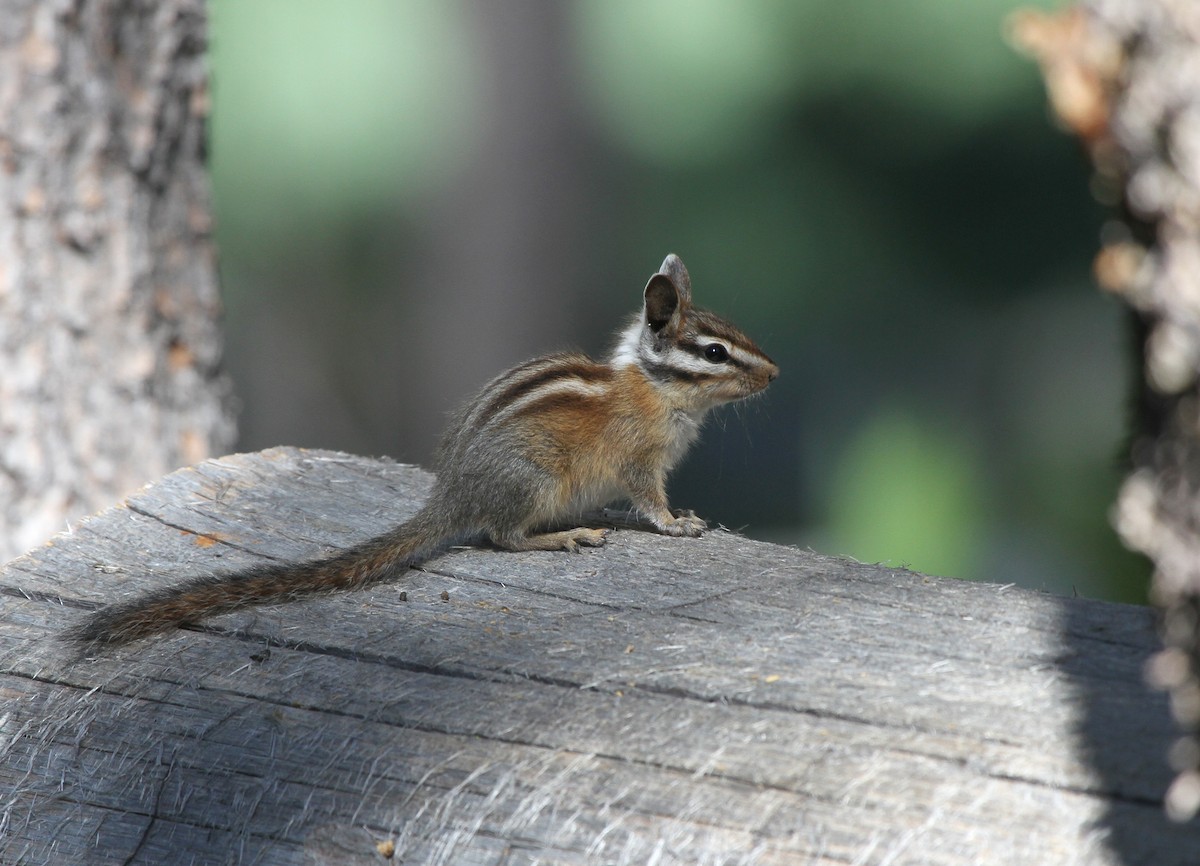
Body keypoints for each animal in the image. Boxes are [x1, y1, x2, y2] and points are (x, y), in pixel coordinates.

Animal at [68, 254, 778, 651]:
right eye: (715, 352)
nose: (774, 374)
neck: (656, 389)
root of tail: (450, 496)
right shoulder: (639, 460)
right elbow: (650, 500)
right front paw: (678, 524)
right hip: (533, 479)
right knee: (501, 537)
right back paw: (563, 536)